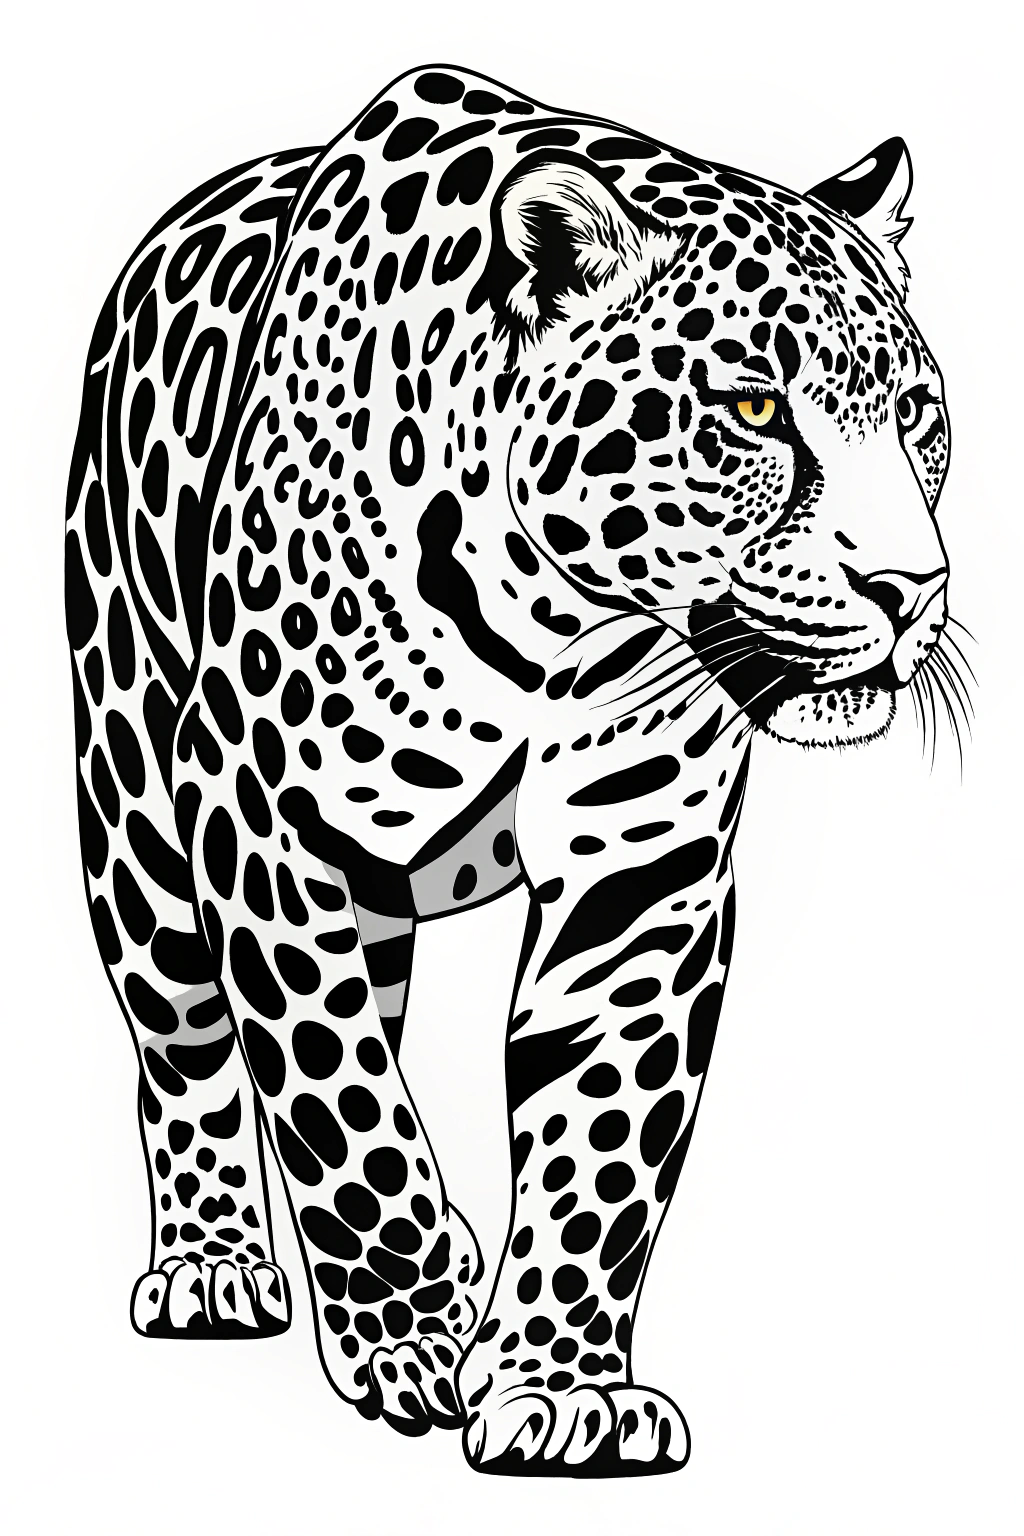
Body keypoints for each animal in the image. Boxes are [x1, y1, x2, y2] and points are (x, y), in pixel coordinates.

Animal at [65, 64, 955, 1477]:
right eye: (754, 410)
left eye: (914, 413)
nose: (910, 586)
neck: (557, 616)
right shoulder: (268, 831)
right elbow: (343, 1109)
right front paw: (413, 1329)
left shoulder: (642, 874)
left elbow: (600, 1134)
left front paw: (560, 1387)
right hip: (139, 814)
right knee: (190, 1040)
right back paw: (217, 1265)